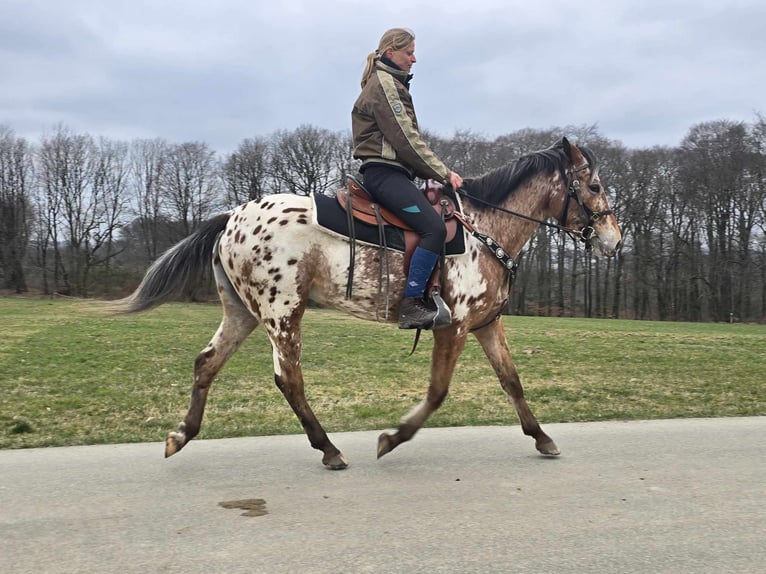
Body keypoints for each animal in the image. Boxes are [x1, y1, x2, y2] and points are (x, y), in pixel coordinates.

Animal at [118, 137, 624, 470]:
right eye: (595, 186)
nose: (614, 240)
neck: (484, 227)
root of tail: (231, 217)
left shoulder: (486, 324)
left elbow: (512, 382)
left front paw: (542, 437)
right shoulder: (453, 326)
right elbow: (437, 391)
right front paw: (392, 438)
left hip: (242, 313)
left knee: (207, 363)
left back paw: (181, 435)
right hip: (283, 313)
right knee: (289, 379)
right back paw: (328, 449)